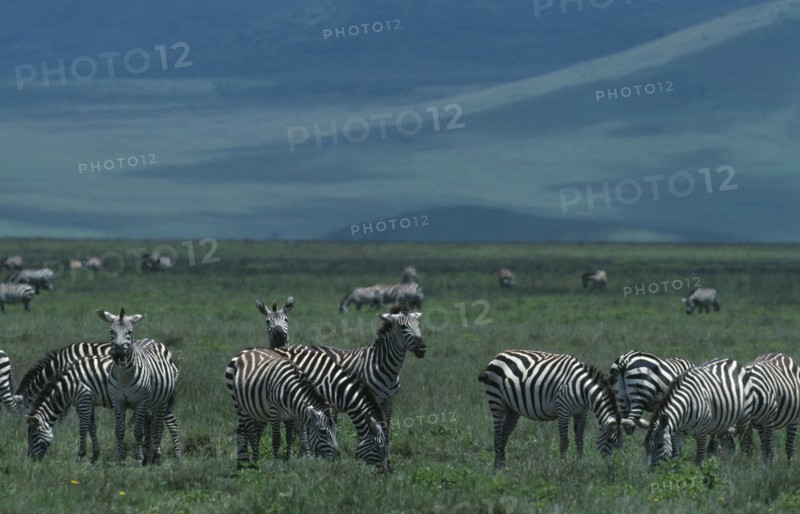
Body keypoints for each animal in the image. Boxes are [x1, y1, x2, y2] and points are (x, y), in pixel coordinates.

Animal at [98, 308, 180, 465]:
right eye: (111, 331)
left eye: (129, 331)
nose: (118, 354)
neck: (124, 377)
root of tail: (151, 339)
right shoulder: (117, 401)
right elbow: (119, 430)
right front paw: (119, 459)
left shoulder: (140, 402)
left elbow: (138, 431)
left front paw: (138, 460)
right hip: (151, 402)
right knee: (151, 424)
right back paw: (150, 456)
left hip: (162, 401)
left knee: (158, 426)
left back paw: (159, 457)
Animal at [312, 305, 427, 468]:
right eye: (403, 327)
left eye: (419, 325)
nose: (422, 349)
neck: (386, 368)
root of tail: (313, 346)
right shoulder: (373, 399)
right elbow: (375, 426)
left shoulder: (389, 401)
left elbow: (386, 428)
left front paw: (387, 458)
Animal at [478, 350, 632, 469]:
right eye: (610, 440)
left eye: (622, 442)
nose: (613, 465)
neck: (583, 390)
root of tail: (499, 355)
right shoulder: (563, 411)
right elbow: (564, 442)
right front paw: (564, 465)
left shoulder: (582, 413)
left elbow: (579, 440)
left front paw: (580, 463)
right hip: (496, 401)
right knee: (498, 434)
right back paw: (497, 467)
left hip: (512, 408)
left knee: (504, 434)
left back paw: (503, 465)